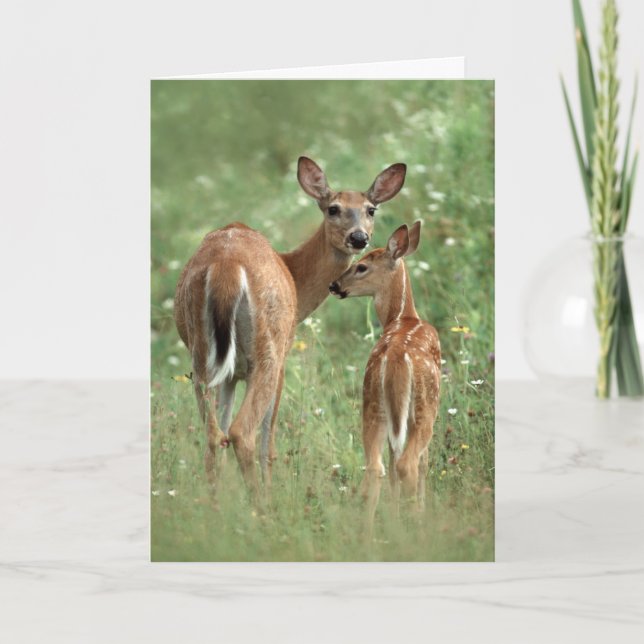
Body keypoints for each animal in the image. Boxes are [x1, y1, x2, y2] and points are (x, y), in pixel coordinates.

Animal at [174, 157, 407, 499]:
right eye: (333, 208)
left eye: (370, 209)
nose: (359, 238)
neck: (293, 272)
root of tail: (226, 268)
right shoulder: (283, 359)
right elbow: (268, 443)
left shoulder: (230, 374)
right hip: (268, 349)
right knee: (243, 433)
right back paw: (261, 507)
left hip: (202, 356)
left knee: (215, 436)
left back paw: (215, 506)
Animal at [329, 221, 441, 532]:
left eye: (361, 266)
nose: (333, 285)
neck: (403, 316)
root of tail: (395, 359)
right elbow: (422, 462)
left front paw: (393, 515)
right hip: (424, 405)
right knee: (408, 464)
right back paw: (417, 528)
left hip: (372, 402)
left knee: (376, 467)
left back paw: (371, 534)